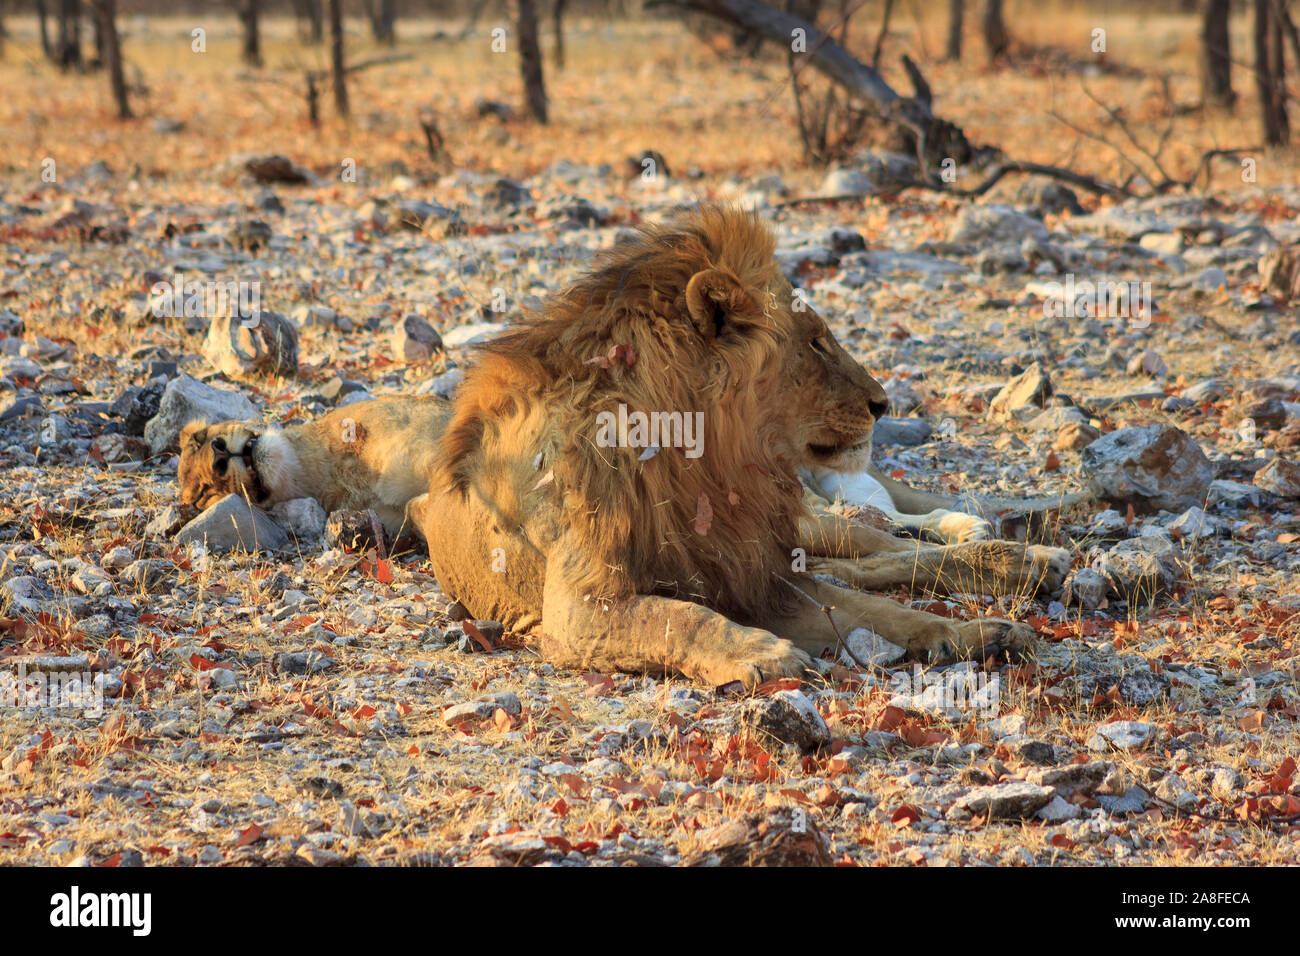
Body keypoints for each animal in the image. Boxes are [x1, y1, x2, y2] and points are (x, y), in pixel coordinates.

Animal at [408, 209, 1066, 686]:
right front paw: (765, 654)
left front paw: (983, 634)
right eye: (816, 342)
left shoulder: (753, 572)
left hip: (801, 526)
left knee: (887, 549)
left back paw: (1022, 560)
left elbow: (888, 613)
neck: (696, 460)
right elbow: (678, 617)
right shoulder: (581, 608)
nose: (883, 404)